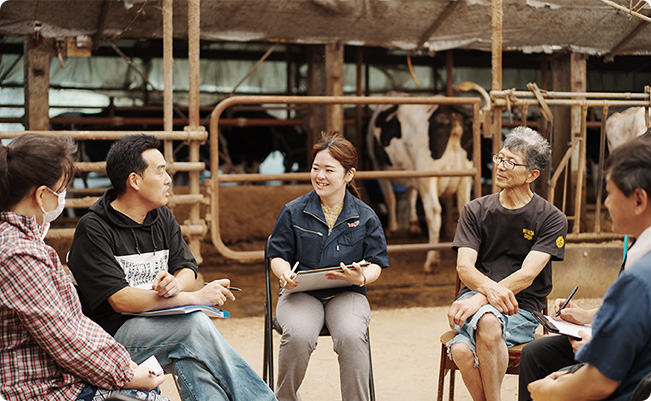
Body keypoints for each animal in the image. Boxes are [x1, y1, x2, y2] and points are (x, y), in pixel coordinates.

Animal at [366, 96, 474, 272]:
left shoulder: (378, 167)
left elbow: (391, 199)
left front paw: (393, 228)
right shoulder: (412, 173)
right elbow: (411, 194)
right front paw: (413, 224)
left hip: (427, 176)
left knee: (434, 212)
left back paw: (431, 260)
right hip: (465, 174)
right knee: (463, 206)